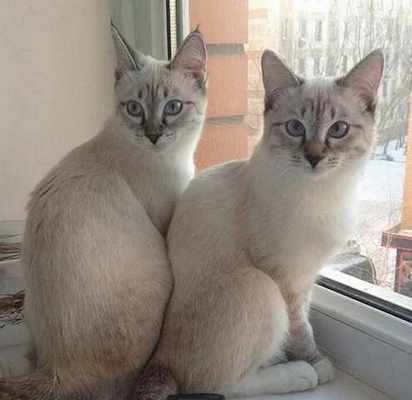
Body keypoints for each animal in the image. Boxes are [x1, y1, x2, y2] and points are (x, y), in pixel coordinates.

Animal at [0, 24, 207, 399]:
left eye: (173, 107)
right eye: (135, 109)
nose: (153, 135)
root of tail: (57, 370)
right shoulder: (165, 219)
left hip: (30, 310)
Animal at [133, 49, 384, 399]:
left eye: (339, 129)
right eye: (295, 128)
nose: (314, 158)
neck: (323, 192)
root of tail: (159, 359)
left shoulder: (307, 277)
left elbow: (304, 317)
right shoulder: (286, 277)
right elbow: (300, 328)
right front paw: (317, 362)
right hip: (260, 286)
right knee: (220, 385)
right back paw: (300, 374)